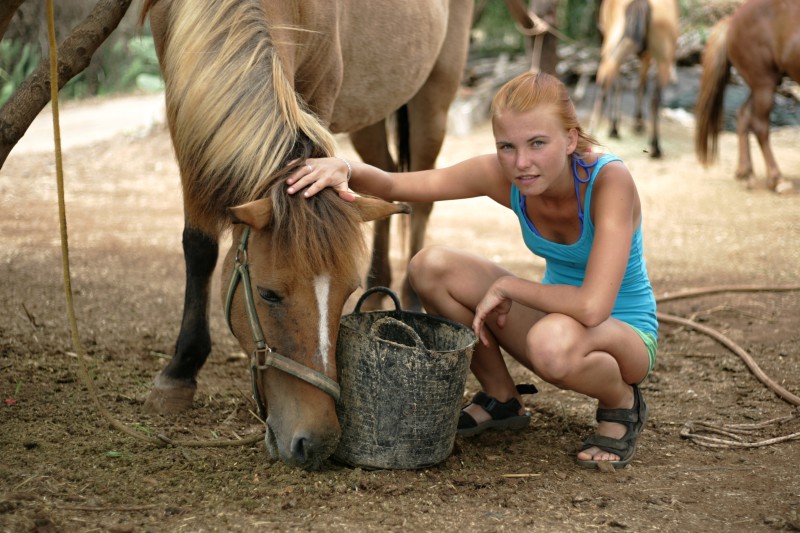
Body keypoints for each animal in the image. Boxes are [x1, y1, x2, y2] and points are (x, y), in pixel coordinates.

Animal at [140, 0, 472, 470]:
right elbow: (199, 247)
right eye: (268, 294)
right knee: (387, 172)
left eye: (345, 294)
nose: (317, 441)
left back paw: (409, 296)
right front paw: (179, 373)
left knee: (421, 198)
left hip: (434, 98)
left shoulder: (319, 92)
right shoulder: (187, 100)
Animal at [592, 0, 680, 158]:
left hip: (610, 48)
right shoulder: (647, 56)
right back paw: (655, 146)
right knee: (654, 98)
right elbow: (641, 86)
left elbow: (619, 85)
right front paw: (638, 122)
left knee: (604, 84)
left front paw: (615, 127)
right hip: (664, 59)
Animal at [692, 0, 800, 193]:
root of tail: (732, 21)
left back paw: (746, 173)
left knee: (743, 115)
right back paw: (777, 179)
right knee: (759, 125)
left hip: (762, 84)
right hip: (764, 83)